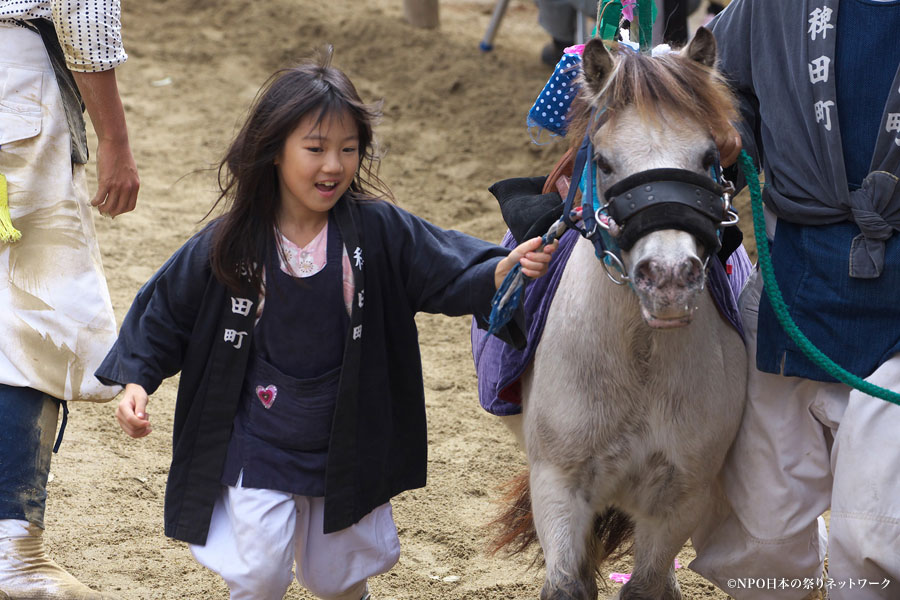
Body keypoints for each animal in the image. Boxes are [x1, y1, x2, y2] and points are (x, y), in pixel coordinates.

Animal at [488, 30, 748, 600]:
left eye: (707, 156)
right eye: (605, 163)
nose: (668, 278)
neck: (639, 360)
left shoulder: (680, 497)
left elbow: (648, 583)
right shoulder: (558, 486)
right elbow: (569, 582)